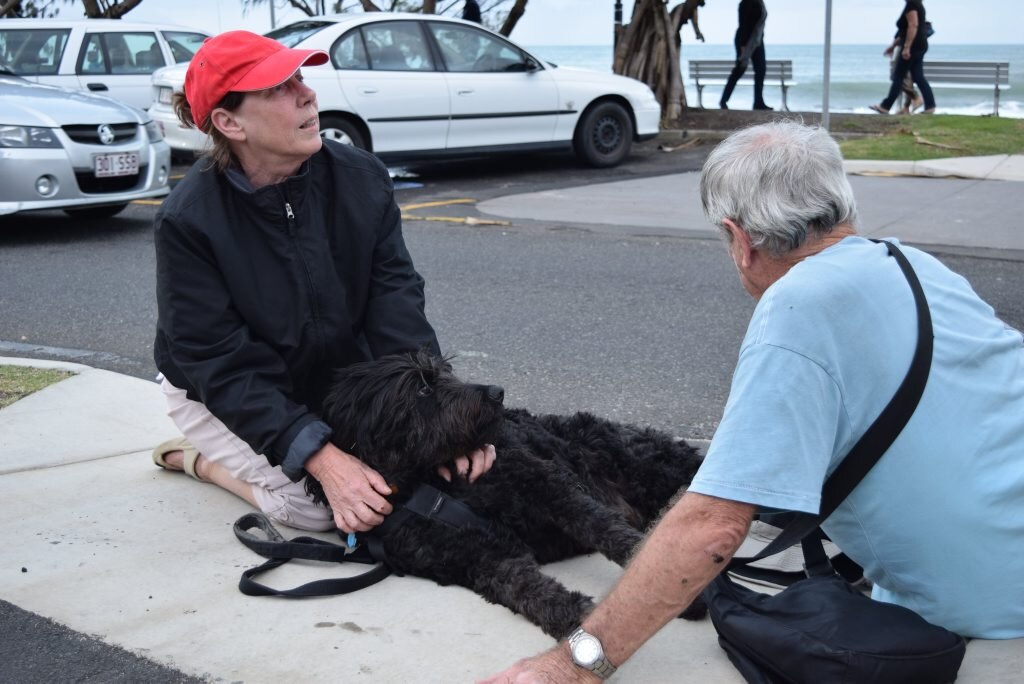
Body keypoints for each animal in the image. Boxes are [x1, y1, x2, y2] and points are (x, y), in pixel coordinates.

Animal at [311, 350, 704, 638]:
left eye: (447, 373)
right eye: (422, 389)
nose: (497, 392)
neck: (429, 483)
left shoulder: (544, 482)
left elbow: (602, 526)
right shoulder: (473, 556)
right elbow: (523, 587)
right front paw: (574, 617)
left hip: (644, 464)